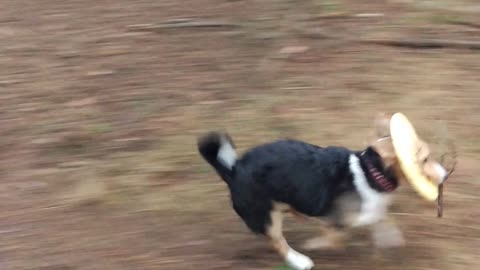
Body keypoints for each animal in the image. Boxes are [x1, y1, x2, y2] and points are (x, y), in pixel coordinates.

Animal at [197, 114, 448, 270]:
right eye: (425, 159)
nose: (446, 175)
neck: (370, 174)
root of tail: (233, 169)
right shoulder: (338, 218)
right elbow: (337, 235)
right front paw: (317, 244)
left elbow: (382, 219)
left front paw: (389, 238)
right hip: (267, 214)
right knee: (278, 241)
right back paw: (299, 260)